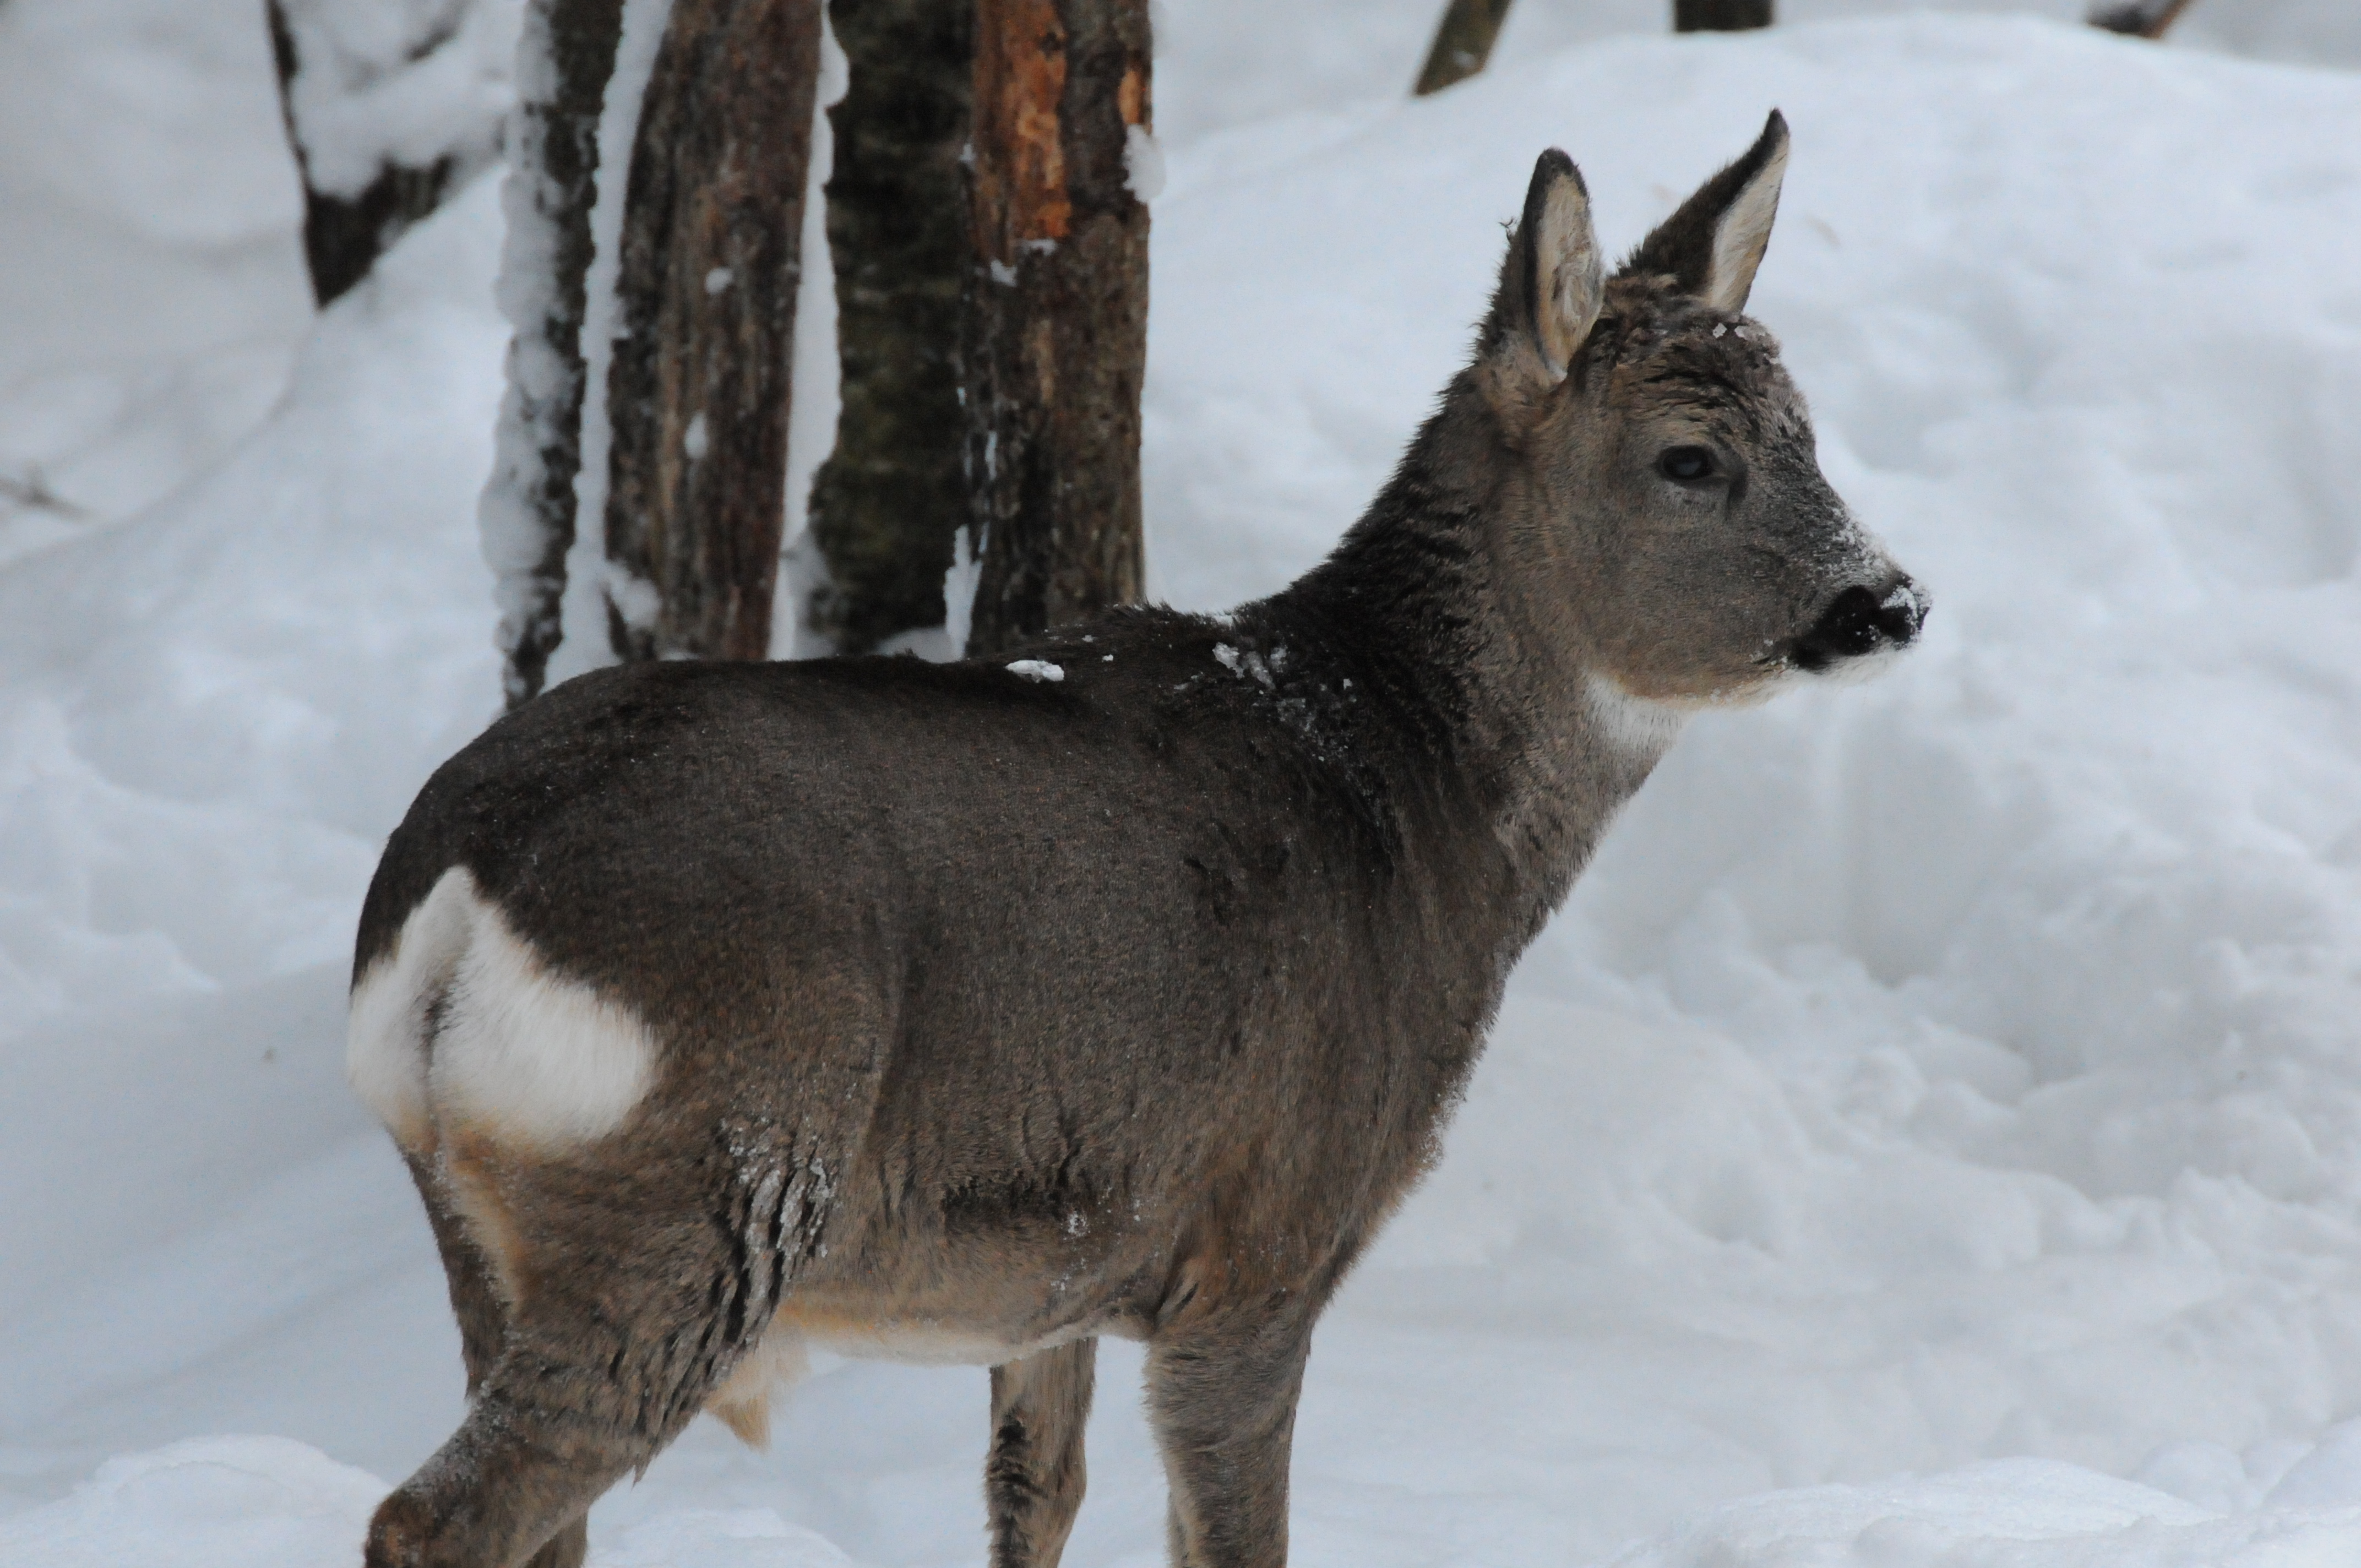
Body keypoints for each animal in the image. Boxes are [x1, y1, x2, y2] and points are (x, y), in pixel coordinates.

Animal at [358, 113, 1927, 1567]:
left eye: (1805, 429)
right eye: (1690, 457)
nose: (1889, 600)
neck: (1408, 801)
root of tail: (452, 893)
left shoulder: (1058, 1264)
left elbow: (1033, 1494)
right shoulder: (1262, 1245)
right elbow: (1232, 1530)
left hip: (488, 1225)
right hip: (708, 1179)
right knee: (434, 1516)